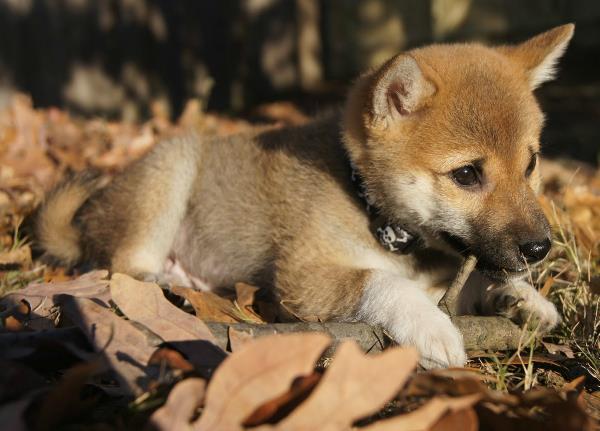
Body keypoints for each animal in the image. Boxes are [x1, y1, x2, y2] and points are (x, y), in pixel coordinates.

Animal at [35, 24, 576, 368]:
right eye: (466, 174)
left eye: (530, 164)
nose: (539, 248)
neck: (366, 203)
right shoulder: (302, 278)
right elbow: (381, 283)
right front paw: (432, 326)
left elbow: (472, 279)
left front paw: (521, 298)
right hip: (171, 168)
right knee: (119, 266)